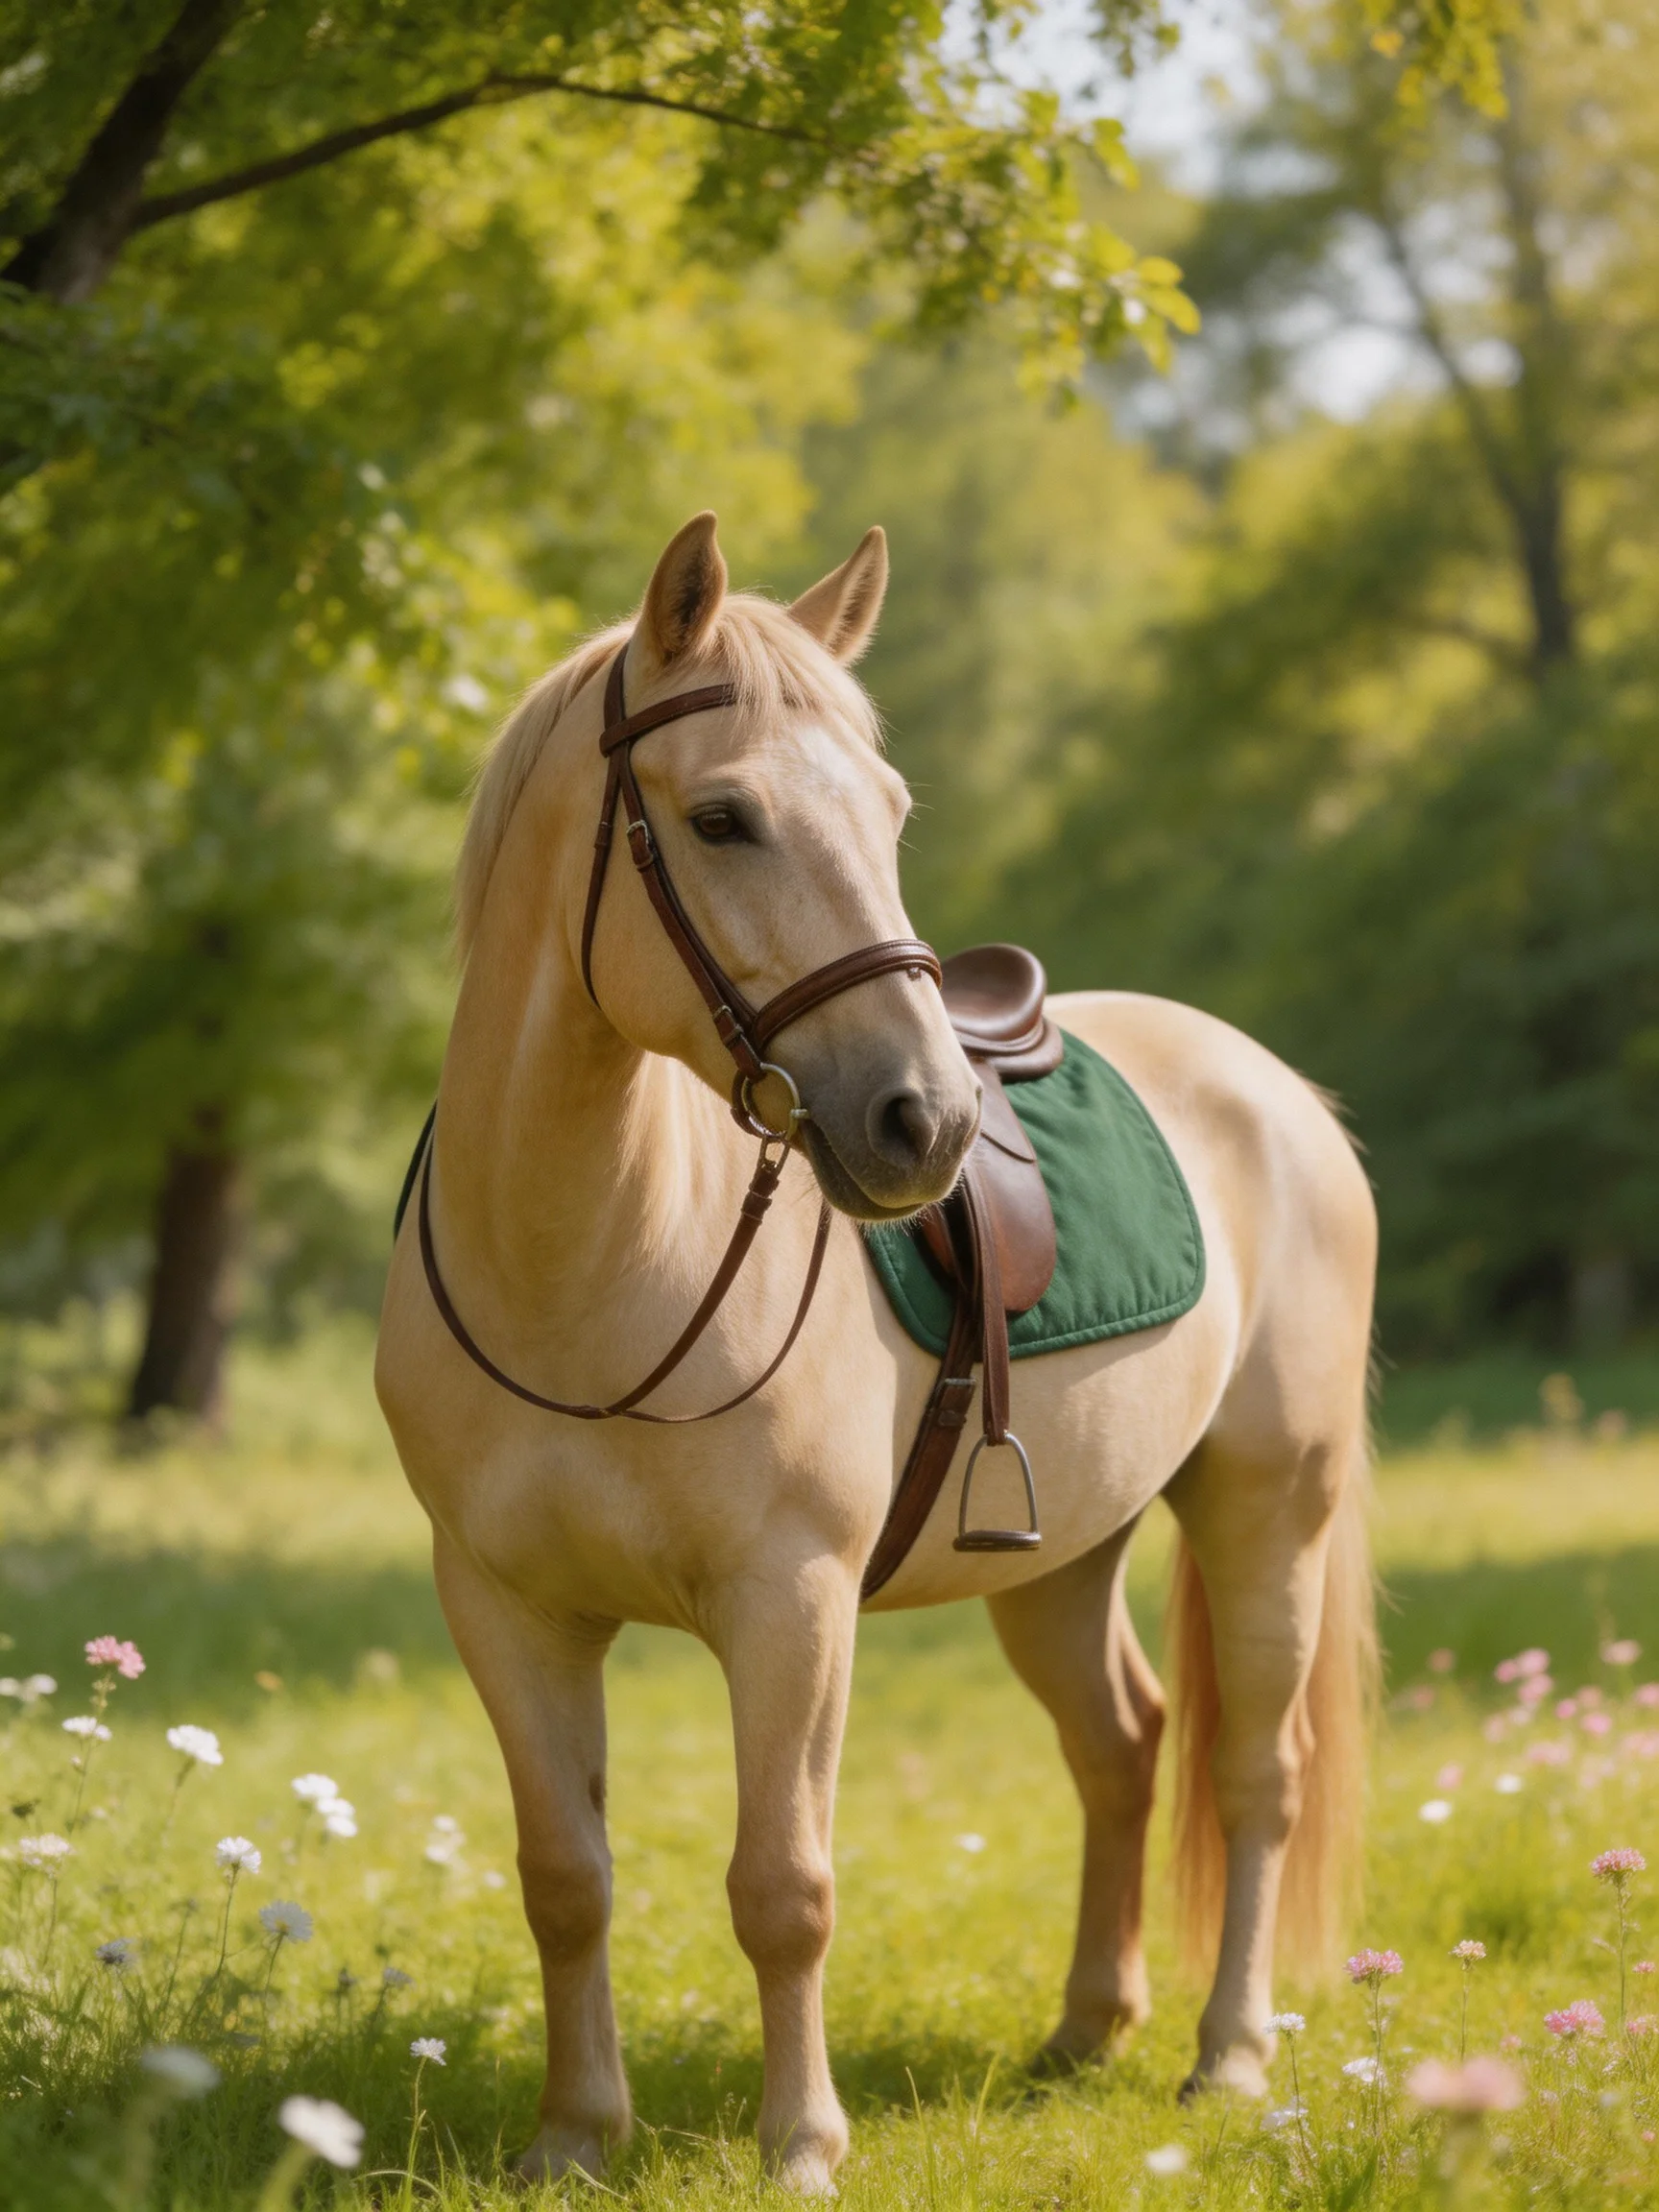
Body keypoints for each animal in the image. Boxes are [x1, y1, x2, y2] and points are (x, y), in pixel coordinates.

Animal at [375, 511, 1377, 2192]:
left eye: (891, 810)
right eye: (721, 817)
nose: (930, 1123)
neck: (587, 1271)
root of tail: (1276, 1089)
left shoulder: (791, 1602)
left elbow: (783, 1886)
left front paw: (800, 2145)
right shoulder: (505, 1607)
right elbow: (565, 1875)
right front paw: (576, 2138)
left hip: (1267, 1508)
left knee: (1256, 1775)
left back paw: (1227, 2059)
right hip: (1061, 1558)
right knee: (1124, 1747)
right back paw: (1084, 2033)